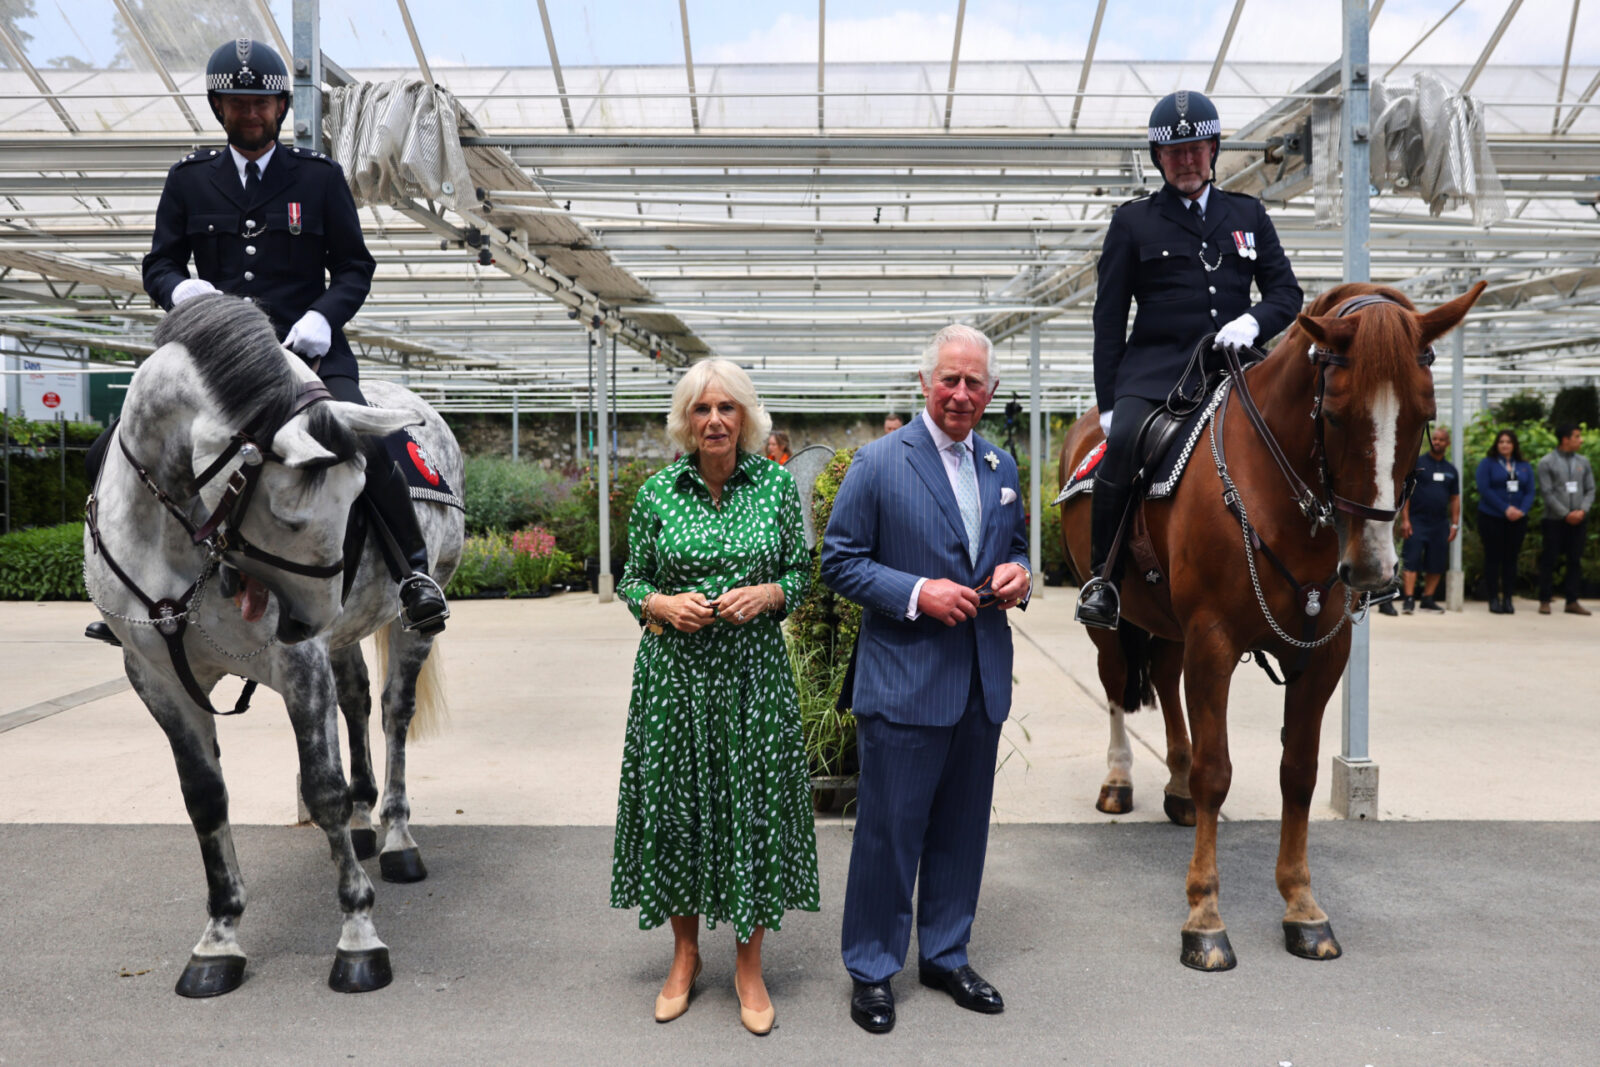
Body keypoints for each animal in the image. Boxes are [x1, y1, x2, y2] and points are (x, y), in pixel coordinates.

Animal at [86, 295, 464, 998]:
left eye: (362, 494)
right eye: (288, 514)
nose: (307, 618)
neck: (176, 539)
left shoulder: (298, 663)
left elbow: (322, 788)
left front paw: (358, 936)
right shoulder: (156, 677)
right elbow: (205, 798)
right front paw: (219, 937)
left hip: (404, 622)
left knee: (394, 712)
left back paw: (396, 835)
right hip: (342, 636)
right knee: (356, 700)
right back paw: (365, 824)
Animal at [1062, 281, 1484, 966]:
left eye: (1424, 414)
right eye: (1334, 414)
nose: (1373, 568)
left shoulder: (1323, 655)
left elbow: (1300, 772)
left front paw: (1303, 907)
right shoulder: (1213, 639)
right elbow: (1217, 771)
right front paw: (1205, 916)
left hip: (1172, 621)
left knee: (1166, 680)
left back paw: (1173, 785)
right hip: (1108, 615)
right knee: (1117, 684)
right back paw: (1120, 779)